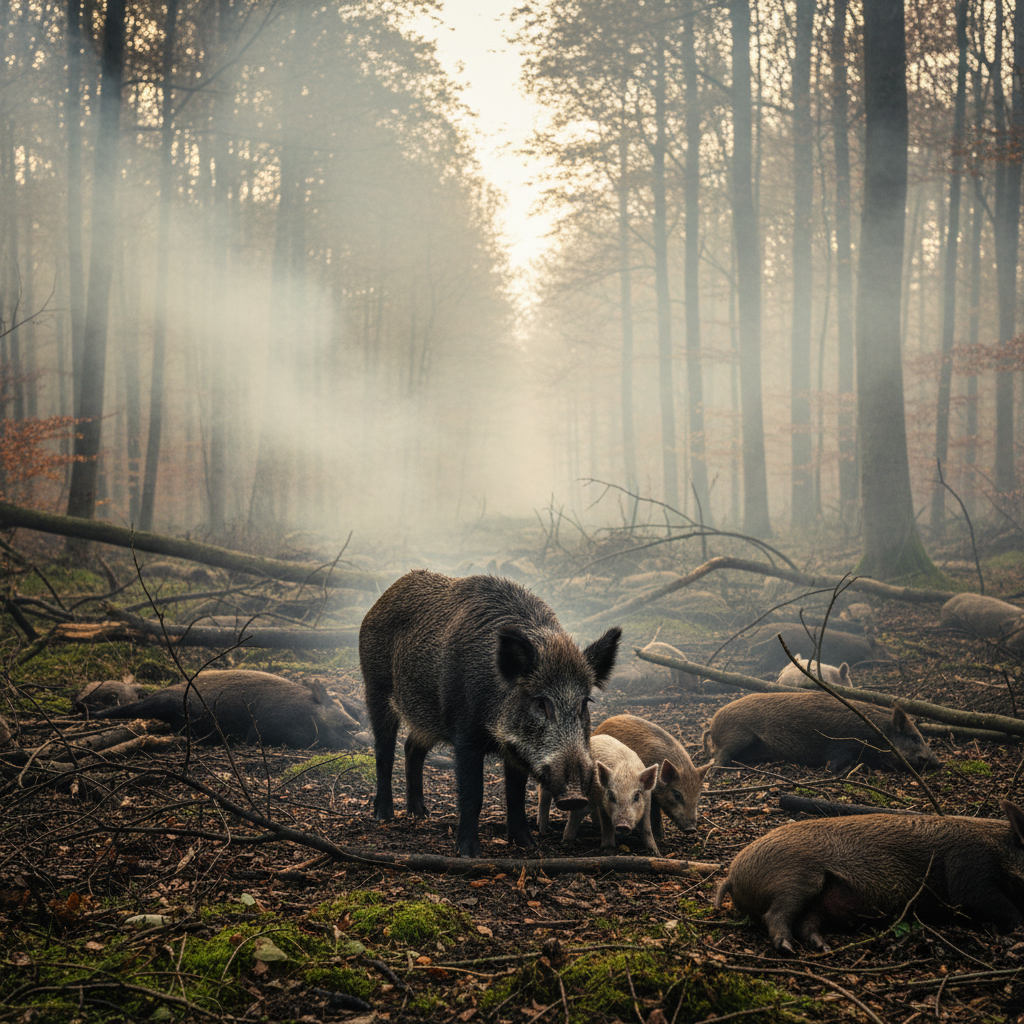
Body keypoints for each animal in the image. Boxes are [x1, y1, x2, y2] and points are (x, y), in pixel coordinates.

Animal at [359, 570, 620, 858]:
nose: (575, 796)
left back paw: (420, 814)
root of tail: (382, 599)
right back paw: (384, 815)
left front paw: (528, 845)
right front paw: (469, 853)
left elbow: (516, 795)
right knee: (384, 751)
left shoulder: (516, 748)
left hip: (427, 717)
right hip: (376, 688)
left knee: (411, 747)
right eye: (541, 703)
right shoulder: (465, 737)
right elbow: (473, 795)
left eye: (584, 703)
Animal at [701, 691, 938, 773]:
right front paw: (833, 770)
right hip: (736, 737)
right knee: (718, 758)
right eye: (914, 738)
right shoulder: (843, 745)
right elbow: (834, 762)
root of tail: (713, 723)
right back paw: (718, 771)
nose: (939, 763)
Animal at [715, 801, 1024, 952]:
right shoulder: (970, 869)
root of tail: (733, 873)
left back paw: (823, 947)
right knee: (776, 915)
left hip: (818, 902)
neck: (1000, 849)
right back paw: (788, 949)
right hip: (795, 879)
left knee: (806, 923)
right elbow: (982, 900)